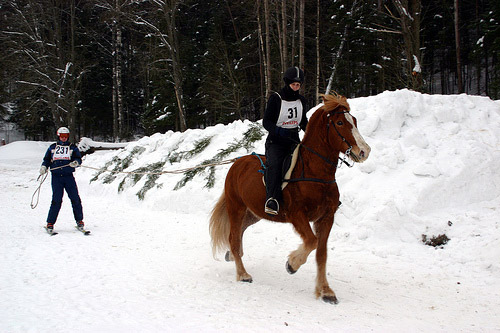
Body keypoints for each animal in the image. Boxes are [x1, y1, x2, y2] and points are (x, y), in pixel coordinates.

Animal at [209, 92, 370, 302]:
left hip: (254, 213)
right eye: (340, 122)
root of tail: (237, 163)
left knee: (239, 232)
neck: (315, 172)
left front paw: (326, 291)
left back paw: (231, 255)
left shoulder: (326, 218)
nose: (364, 151)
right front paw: (292, 264)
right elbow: (311, 241)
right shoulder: (297, 215)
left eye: (355, 121)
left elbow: (321, 254)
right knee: (234, 237)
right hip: (236, 207)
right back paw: (243, 274)